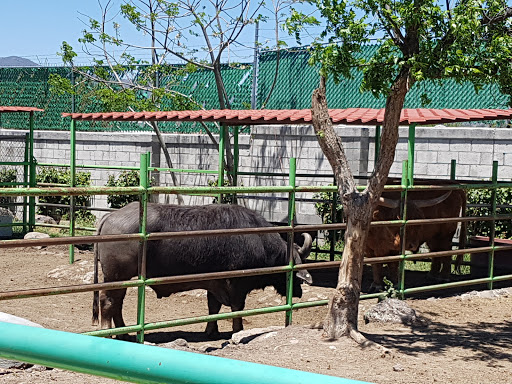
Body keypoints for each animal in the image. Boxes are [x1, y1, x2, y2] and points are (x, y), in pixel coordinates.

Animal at [94, 202, 314, 338]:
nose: (299, 291)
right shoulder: (237, 285)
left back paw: (124, 333)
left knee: (117, 303)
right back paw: (110, 332)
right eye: (296, 268)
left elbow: (213, 308)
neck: (259, 241)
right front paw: (237, 330)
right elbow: (237, 309)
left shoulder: (214, 284)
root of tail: (111, 216)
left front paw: (211, 330)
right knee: (108, 301)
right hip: (116, 276)